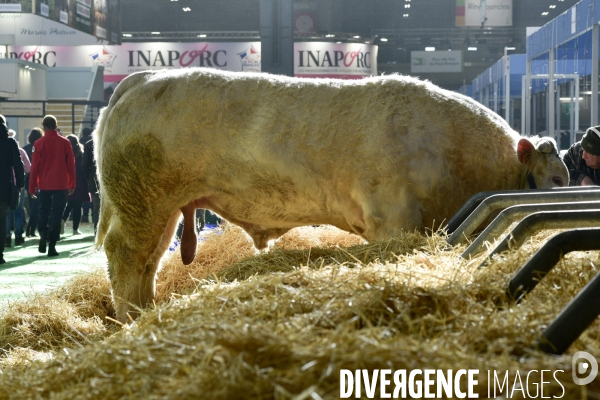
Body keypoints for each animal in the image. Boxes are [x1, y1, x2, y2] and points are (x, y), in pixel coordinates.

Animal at [92, 67, 568, 320]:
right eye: (560, 181)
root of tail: (144, 77)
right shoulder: (394, 219)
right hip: (141, 204)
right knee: (127, 259)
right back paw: (131, 319)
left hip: (163, 208)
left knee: (149, 261)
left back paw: (145, 313)